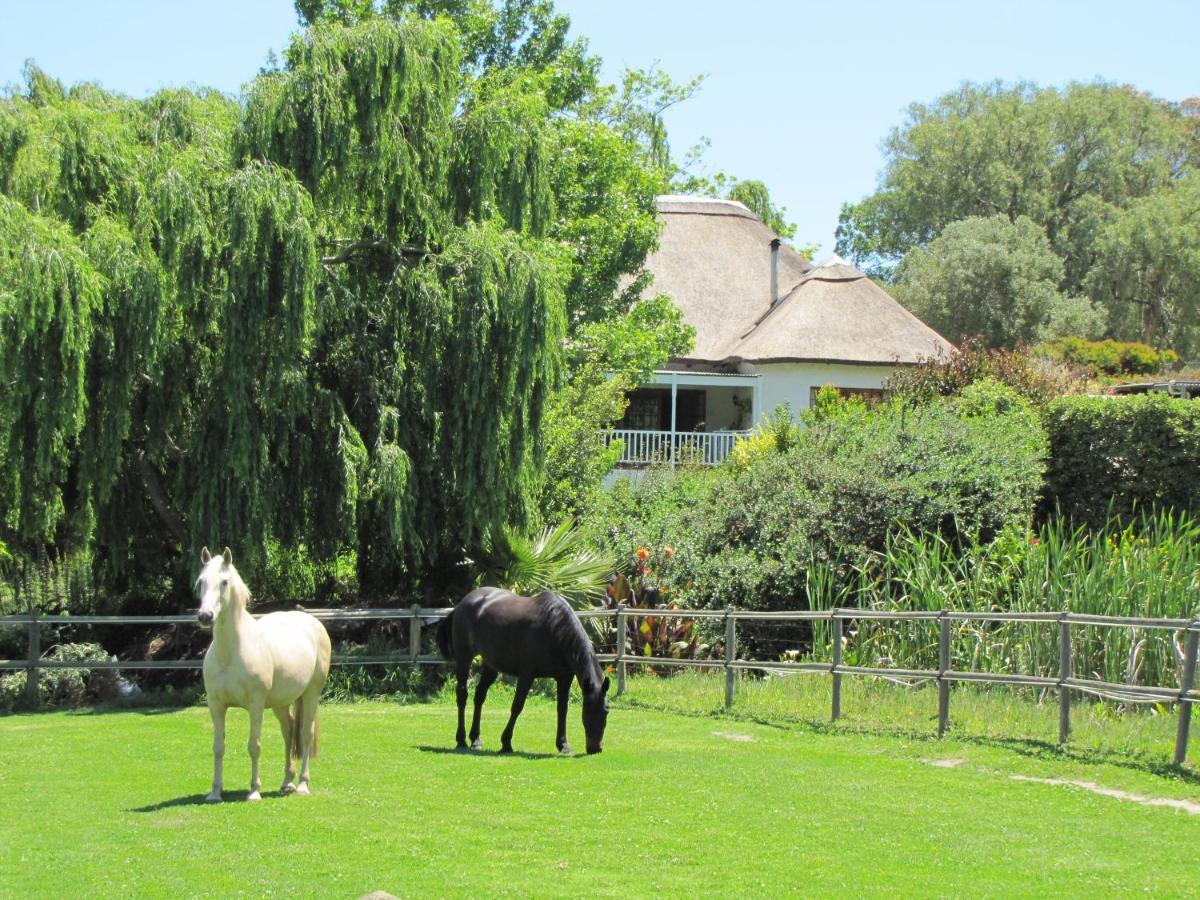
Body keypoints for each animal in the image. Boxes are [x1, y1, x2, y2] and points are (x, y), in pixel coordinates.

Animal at [194, 547, 331, 806]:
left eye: (224, 582)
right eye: (201, 582)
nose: (205, 615)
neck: (231, 652)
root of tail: (312, 622)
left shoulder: (255, 706)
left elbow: (254, 746)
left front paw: (254, 791)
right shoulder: (216, 705)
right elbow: (218, 747)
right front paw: (215, 792)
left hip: (311, 694)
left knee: (305, 735)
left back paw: (302, 785)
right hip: (280, 702)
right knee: (289, 730)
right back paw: (287, 782)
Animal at [436, 588, 609, 758]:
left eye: (606, 710)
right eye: (588, 709)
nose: (595, 748)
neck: (555, 628)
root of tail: (461, 604)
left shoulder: (564, 678)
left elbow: (562, 710)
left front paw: (563, 745)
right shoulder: (527, 675)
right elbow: (517, 707)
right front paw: (506, 743)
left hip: (491, 665)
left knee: (479, 696)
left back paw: (476, 739)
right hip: (464, 659)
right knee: (462, 696)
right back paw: (461, 740)